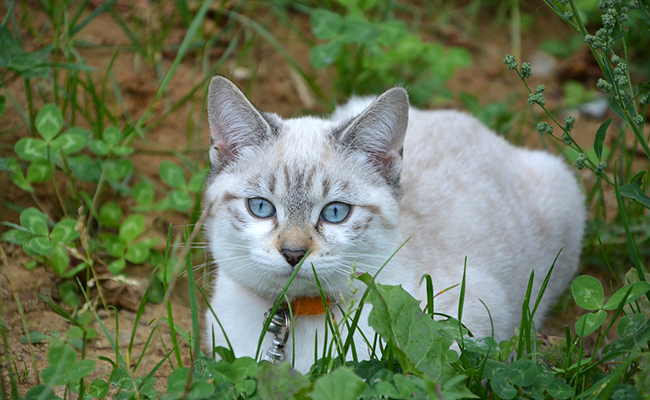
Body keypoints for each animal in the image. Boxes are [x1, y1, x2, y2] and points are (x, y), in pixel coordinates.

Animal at [201, 76, 584, 372]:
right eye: (261, 207)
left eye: (335, 213)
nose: (293, 253)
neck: (293, 316)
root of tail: (472, 122)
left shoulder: (478, 319)